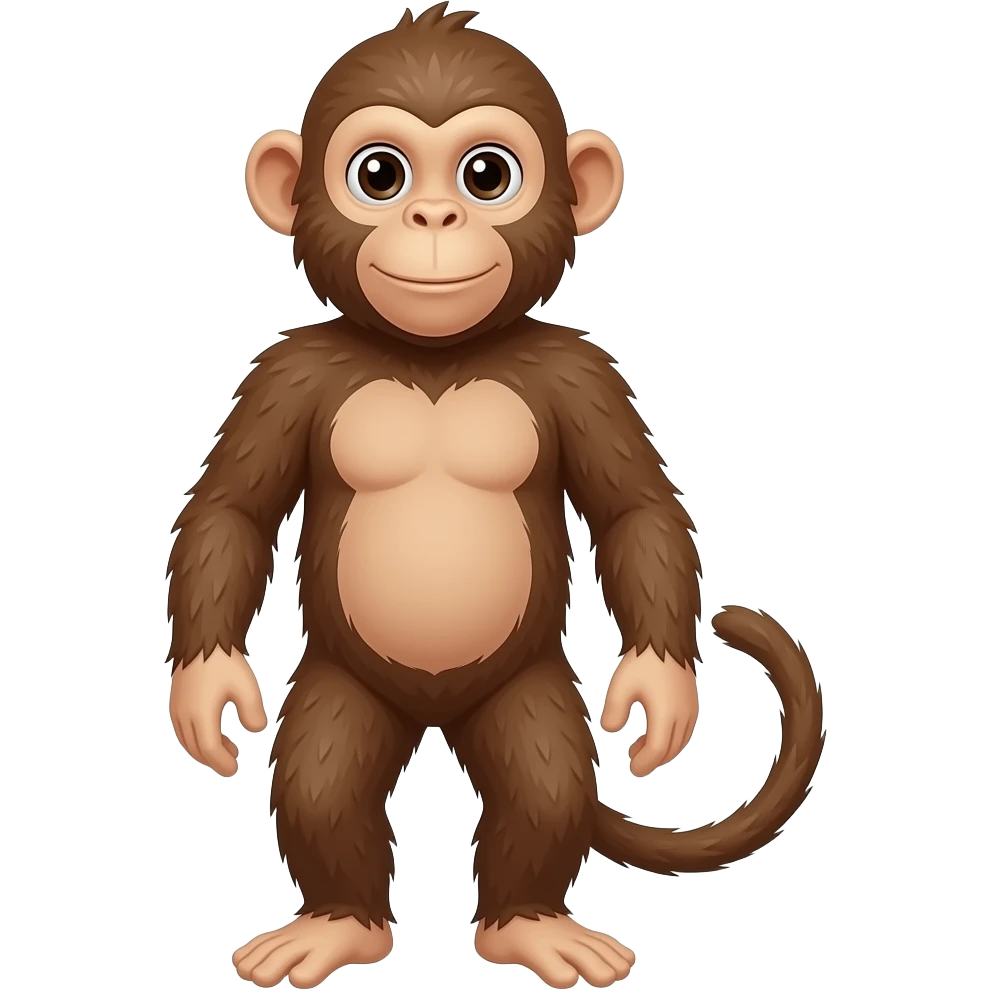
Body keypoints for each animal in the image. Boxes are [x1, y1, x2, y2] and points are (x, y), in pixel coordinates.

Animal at [165, 5, 825, 989]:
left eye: (486, 174)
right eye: (380, 173)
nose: (433, 214)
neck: (436, 357)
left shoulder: (583, 373)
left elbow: (636, 511)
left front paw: (660, 688)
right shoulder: (285, 373)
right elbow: (232, 512)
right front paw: (208, 687)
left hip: (526, 684)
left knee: (542, 783)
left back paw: (528, 925)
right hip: (345, 680)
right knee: (323, 779)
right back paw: (340, 923)